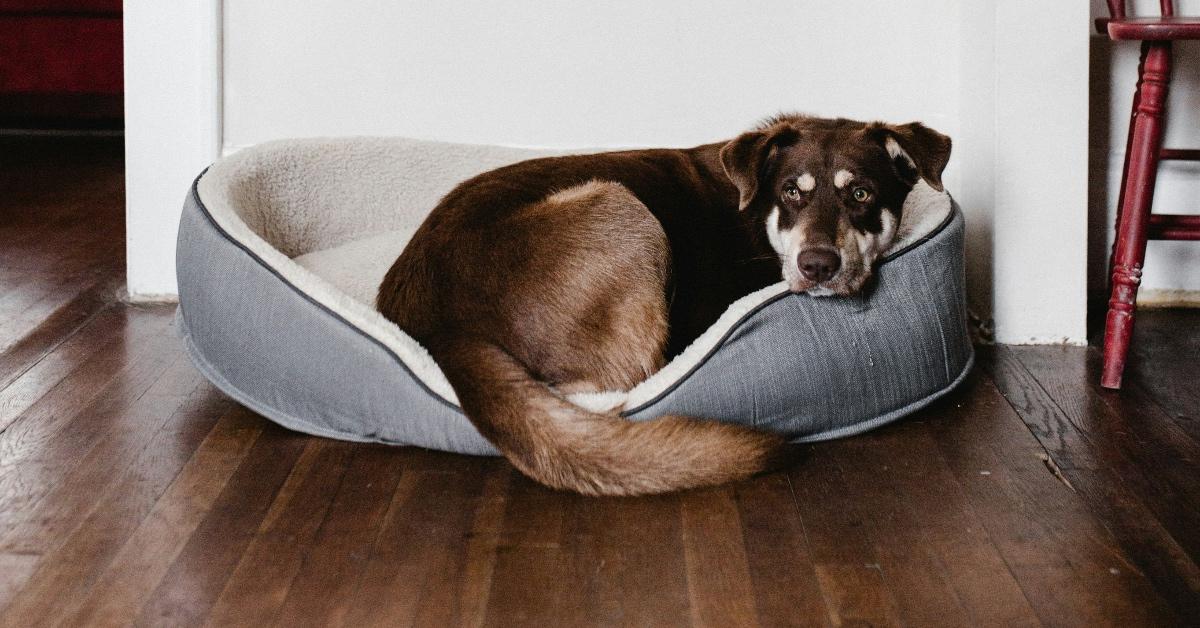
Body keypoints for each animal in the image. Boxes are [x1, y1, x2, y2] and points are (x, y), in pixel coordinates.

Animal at [374, 114, 945, 497]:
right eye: (791, 192)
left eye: (862, 194)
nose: (818, 265)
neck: (758, 215)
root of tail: (440, 327)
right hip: (621, 207)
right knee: (631, 380)